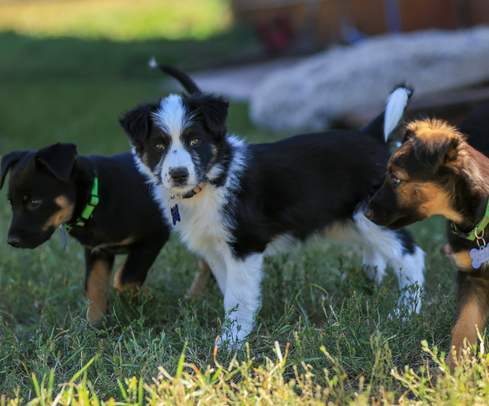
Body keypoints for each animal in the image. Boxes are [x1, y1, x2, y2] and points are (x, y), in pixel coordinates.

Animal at [0, 144, 173, 322]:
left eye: (34, 203)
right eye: (11, 203)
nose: (11, 241)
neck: (97, 198)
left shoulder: (154, 236)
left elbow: (125, 278)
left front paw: (146, 296)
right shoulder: (96, 250)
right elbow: (94, 286)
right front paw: (96, 323)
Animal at [119, 67, 424, 346]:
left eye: (195, 141)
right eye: (158, 146)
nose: (179, 174)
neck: (212, 181)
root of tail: (370, 135)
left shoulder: (245, 244)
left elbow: (238, 295)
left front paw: (232, 340)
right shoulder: (215, 248)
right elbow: (228, 290)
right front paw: (234, 332)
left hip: (370, 214)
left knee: (411, 255)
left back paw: (405, 312)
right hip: (342, 221)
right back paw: (373, 274)